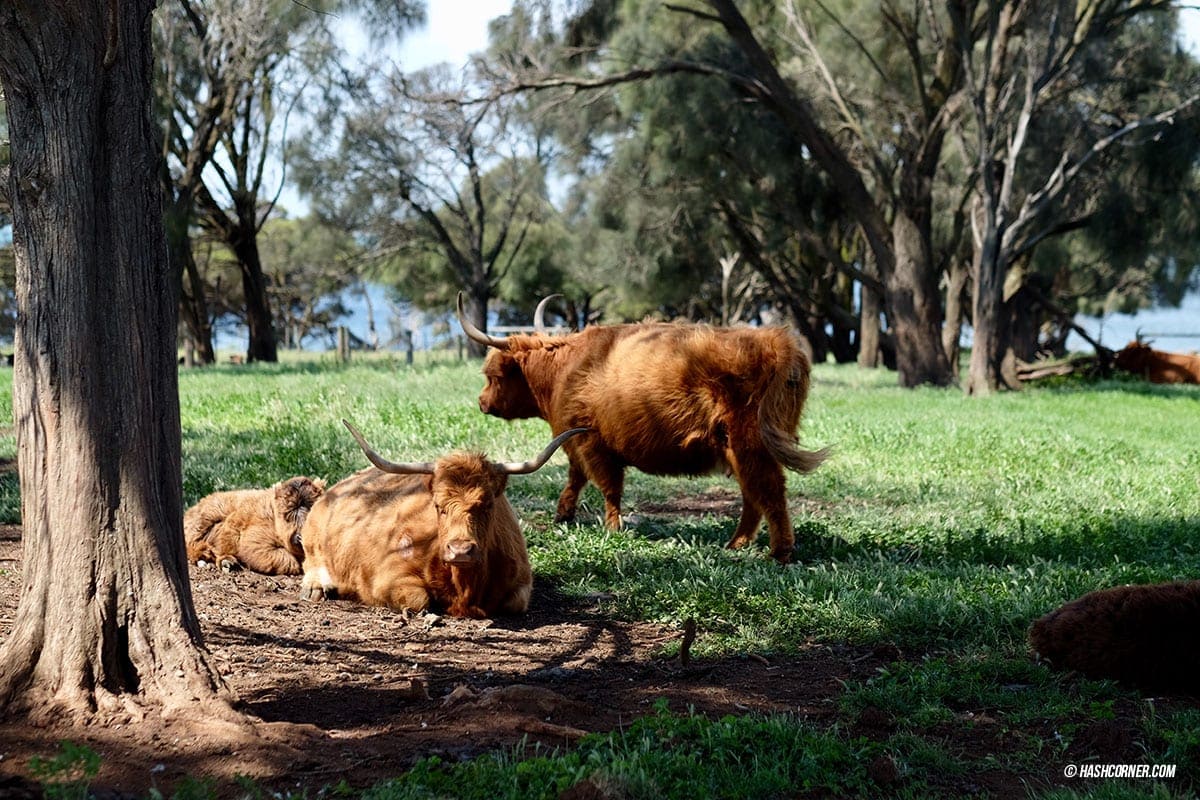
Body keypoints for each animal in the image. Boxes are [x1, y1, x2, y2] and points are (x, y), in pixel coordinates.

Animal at [295, 424, 585, 618]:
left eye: (488, 504)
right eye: (438, 506)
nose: (460, 550)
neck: (465, 586)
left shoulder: (521, 583)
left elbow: (514, 602)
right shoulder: (386, 578)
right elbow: (417, 599)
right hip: (313, 539)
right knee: (311, 561)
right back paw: (316, 587)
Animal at [453, 293, 830, 563]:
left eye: (493, 375)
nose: (482, 402)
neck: (563, 371)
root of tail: (776, 342)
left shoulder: (591, 442)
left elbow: (608, 487)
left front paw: (612, 528)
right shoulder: (575, 442)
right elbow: (576, 478)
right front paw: (564, 515)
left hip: (749, 444)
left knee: (770, 491)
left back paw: (778, 553)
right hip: (739, 449)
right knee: (753, 494)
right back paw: (736, 544)